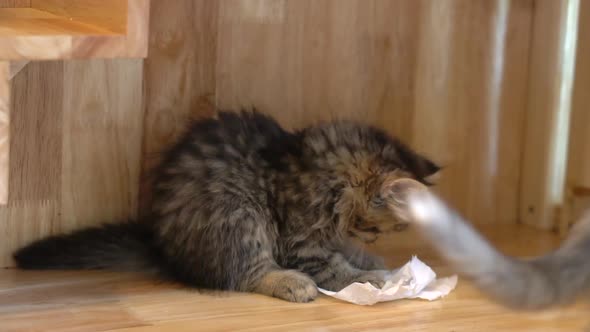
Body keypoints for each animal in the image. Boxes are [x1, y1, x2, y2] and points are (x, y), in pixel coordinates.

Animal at [13, 110, 442, 302]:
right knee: (245, 275)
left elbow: (344, 251)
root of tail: (165, 251)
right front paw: (375, 279)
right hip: (239, 214)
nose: (373, 240)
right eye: (379, 228)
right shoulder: (301, 241)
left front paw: (375, 264)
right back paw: (292, 284)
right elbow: (335, 269)